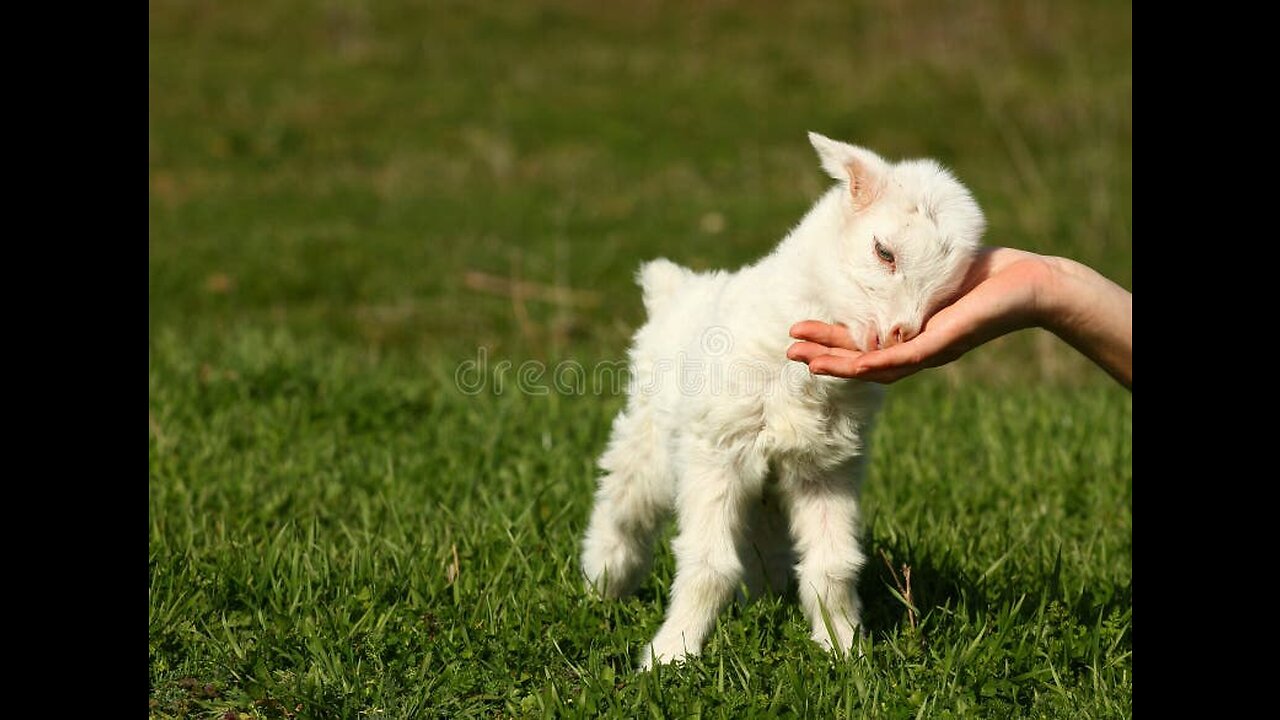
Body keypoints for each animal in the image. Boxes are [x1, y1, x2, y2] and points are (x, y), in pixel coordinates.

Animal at [583, 130, 988, 666]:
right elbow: (708, 565)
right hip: (650, 435)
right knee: (623, 499)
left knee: (764, 536)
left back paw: (766, 598)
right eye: (884, 251)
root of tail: (675, 289)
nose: (897, 335)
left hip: (770, 478)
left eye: (947, 295)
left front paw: (845, 652)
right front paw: (670, 657)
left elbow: (834, 565)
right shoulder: (718, 449)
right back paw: (602, 583)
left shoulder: (827, 465)